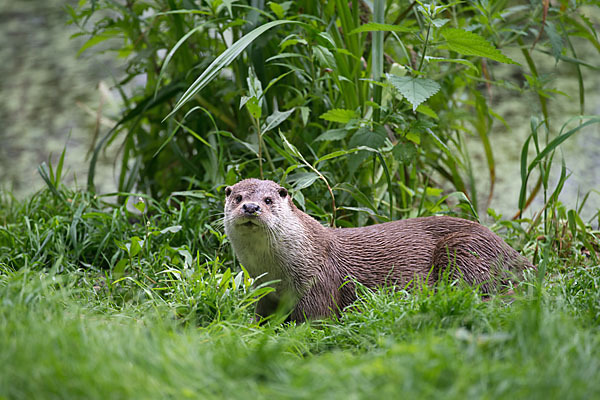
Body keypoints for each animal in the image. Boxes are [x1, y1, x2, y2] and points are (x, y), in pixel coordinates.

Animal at [225, 178, 536, 322]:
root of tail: (515, 254)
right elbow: (261, 317)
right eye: (238, 197)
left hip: (463, 247)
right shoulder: (265, 292)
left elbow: (317, 319)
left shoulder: (319, 283)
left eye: (268, 200)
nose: (251, 207)